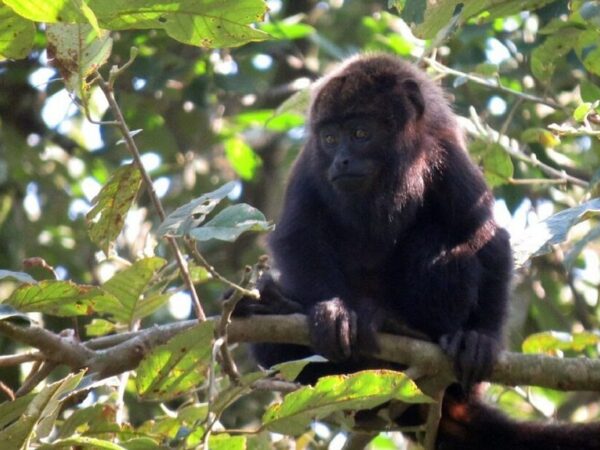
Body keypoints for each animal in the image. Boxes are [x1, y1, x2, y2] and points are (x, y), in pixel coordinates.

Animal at [234, 54, 600, 448]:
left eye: (360, 134)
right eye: (330, 139)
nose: (340, 161)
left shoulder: (445, 155)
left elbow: (485, 235)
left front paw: (481, 338)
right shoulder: (310, 167)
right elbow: (298, 237)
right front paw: (331, 312)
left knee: (440, 239)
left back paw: (412, 331)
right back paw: (273, 305)